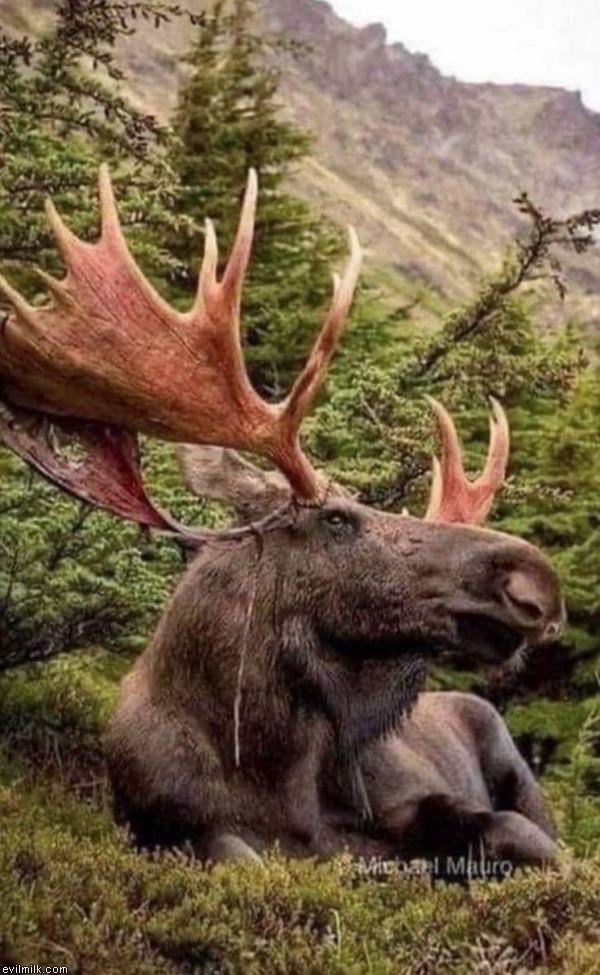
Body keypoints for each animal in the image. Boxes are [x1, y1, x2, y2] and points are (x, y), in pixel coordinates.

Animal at [0, 168, 564, 871]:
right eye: (337, 520)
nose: (535, 581)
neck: (274, 768)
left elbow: (521, 838)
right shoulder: (168, 824)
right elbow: (238, 852)